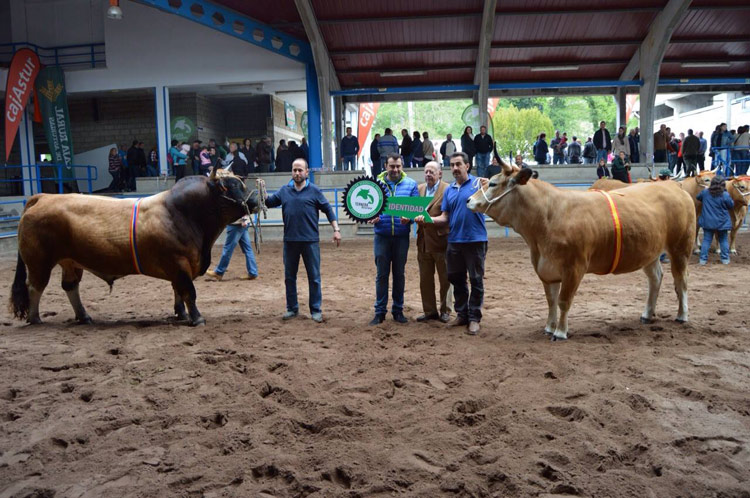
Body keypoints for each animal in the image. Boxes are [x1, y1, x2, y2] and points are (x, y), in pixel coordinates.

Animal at [8, 171, 258, 326]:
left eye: (241, 184)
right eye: (227, 187)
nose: (254, 201)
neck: (183, 213)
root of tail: (43, 197)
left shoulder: (179, 268)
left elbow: (178, 291)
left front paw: (180, 313)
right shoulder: (179, 263)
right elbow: (189, 292)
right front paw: (196, 318)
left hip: (70, 261)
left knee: (70, 286)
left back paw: (83, 316)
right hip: (39, 262)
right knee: (35, 287)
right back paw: (35, 318)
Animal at [470, 161, 700, 340]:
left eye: (492, 183)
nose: (469, 200)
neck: (549, 215)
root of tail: (674, 187)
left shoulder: (574, 267)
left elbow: (563, 301)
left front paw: (560, 332)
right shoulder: (546, 269)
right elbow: (551, 301)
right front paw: (549, 327)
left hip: (680, 247)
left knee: (681, 280)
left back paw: (682, 315)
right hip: (650, 251)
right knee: (656, 278)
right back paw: (647, 314)